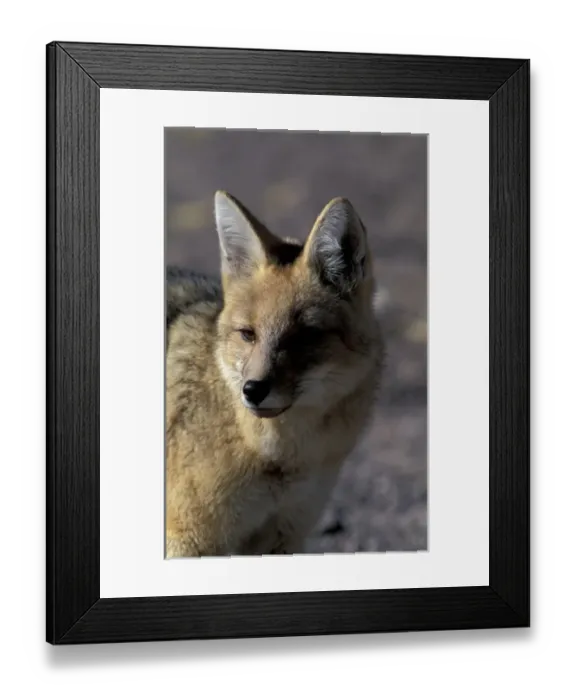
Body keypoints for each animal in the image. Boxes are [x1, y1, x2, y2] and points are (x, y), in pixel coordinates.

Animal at [165, 190, 384, 557]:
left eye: (304, 336)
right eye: (248, 334)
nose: (253, 390)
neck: (278, 459)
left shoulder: (283, 535)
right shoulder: (190, 541)